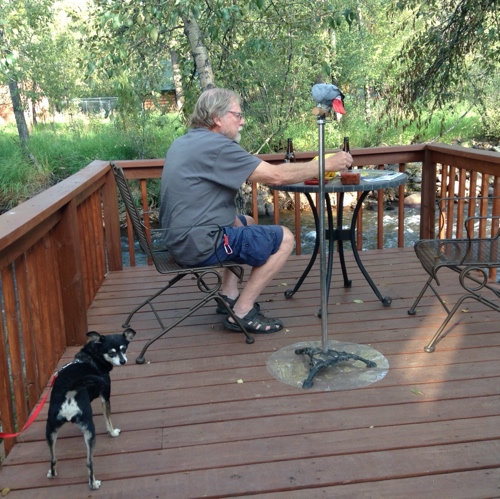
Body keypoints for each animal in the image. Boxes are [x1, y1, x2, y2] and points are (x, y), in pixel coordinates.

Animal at [46, 329, 136, 490]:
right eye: (111, 353)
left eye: (124, 349)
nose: (123, 361)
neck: (92, 357)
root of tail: (70, 392)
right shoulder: (105, 395)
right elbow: (108, 420)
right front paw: (112, 432)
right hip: (89, 431)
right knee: (89, 462)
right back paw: (93, 483)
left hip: (50, 430)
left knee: (53, 458)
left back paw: (53, 473)